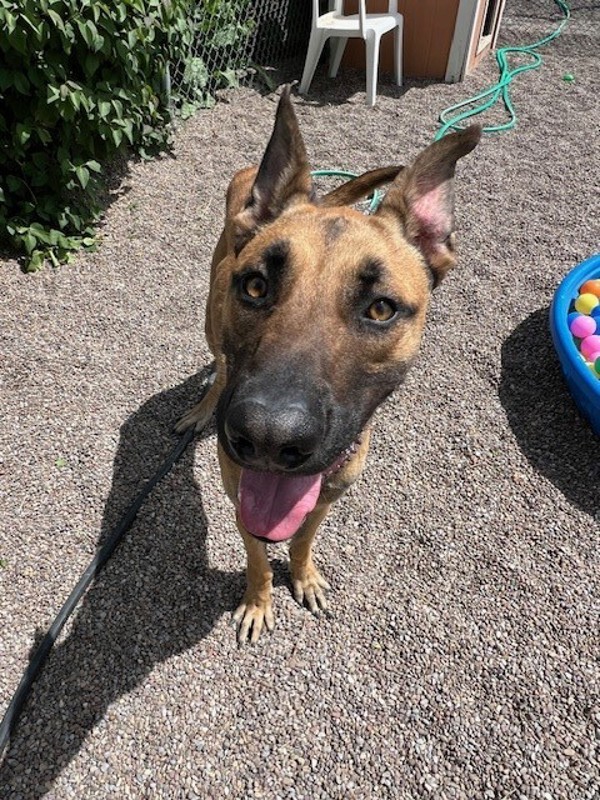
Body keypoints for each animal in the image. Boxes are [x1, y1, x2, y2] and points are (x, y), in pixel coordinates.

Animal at [176, 86, 480, 644]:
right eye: (257, 285)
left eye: (380, 309)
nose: (269, 439)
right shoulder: (243, 500)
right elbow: (258, 558)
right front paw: (258, 601)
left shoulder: (326, 497)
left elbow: (300, 540)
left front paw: (303, 575)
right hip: (211, 319)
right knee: (220, 363)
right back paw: (203, 406)